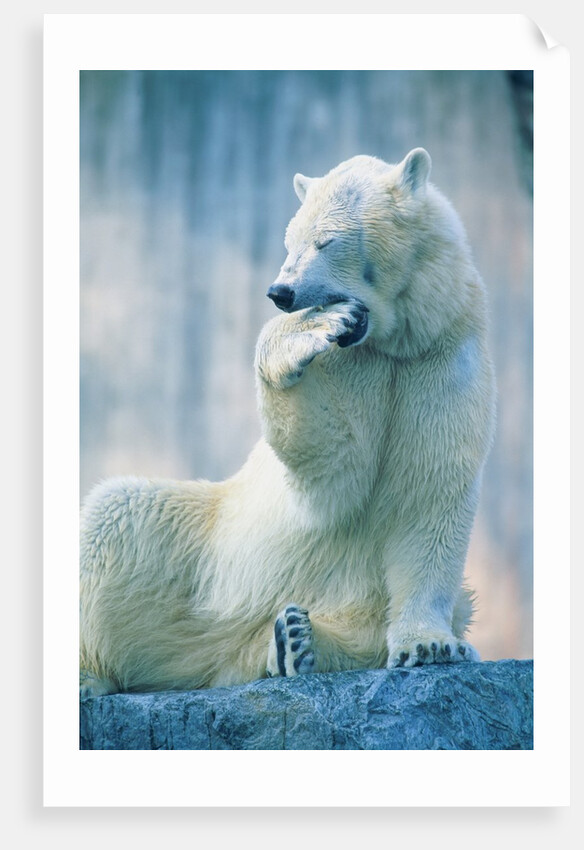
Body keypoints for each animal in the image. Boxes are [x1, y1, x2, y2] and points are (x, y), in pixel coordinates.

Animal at [79, 147, 496, 698]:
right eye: (289, 241)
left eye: (326, 240)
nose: (281, 291)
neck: (395, 340)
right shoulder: (354, 363)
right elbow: (331, 462)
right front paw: (307, 332)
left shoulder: (442, 354)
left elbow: (432, 490)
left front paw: (430, 646)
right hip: (204, 549)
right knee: (116, 515)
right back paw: (90, 672)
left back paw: (297, 640)